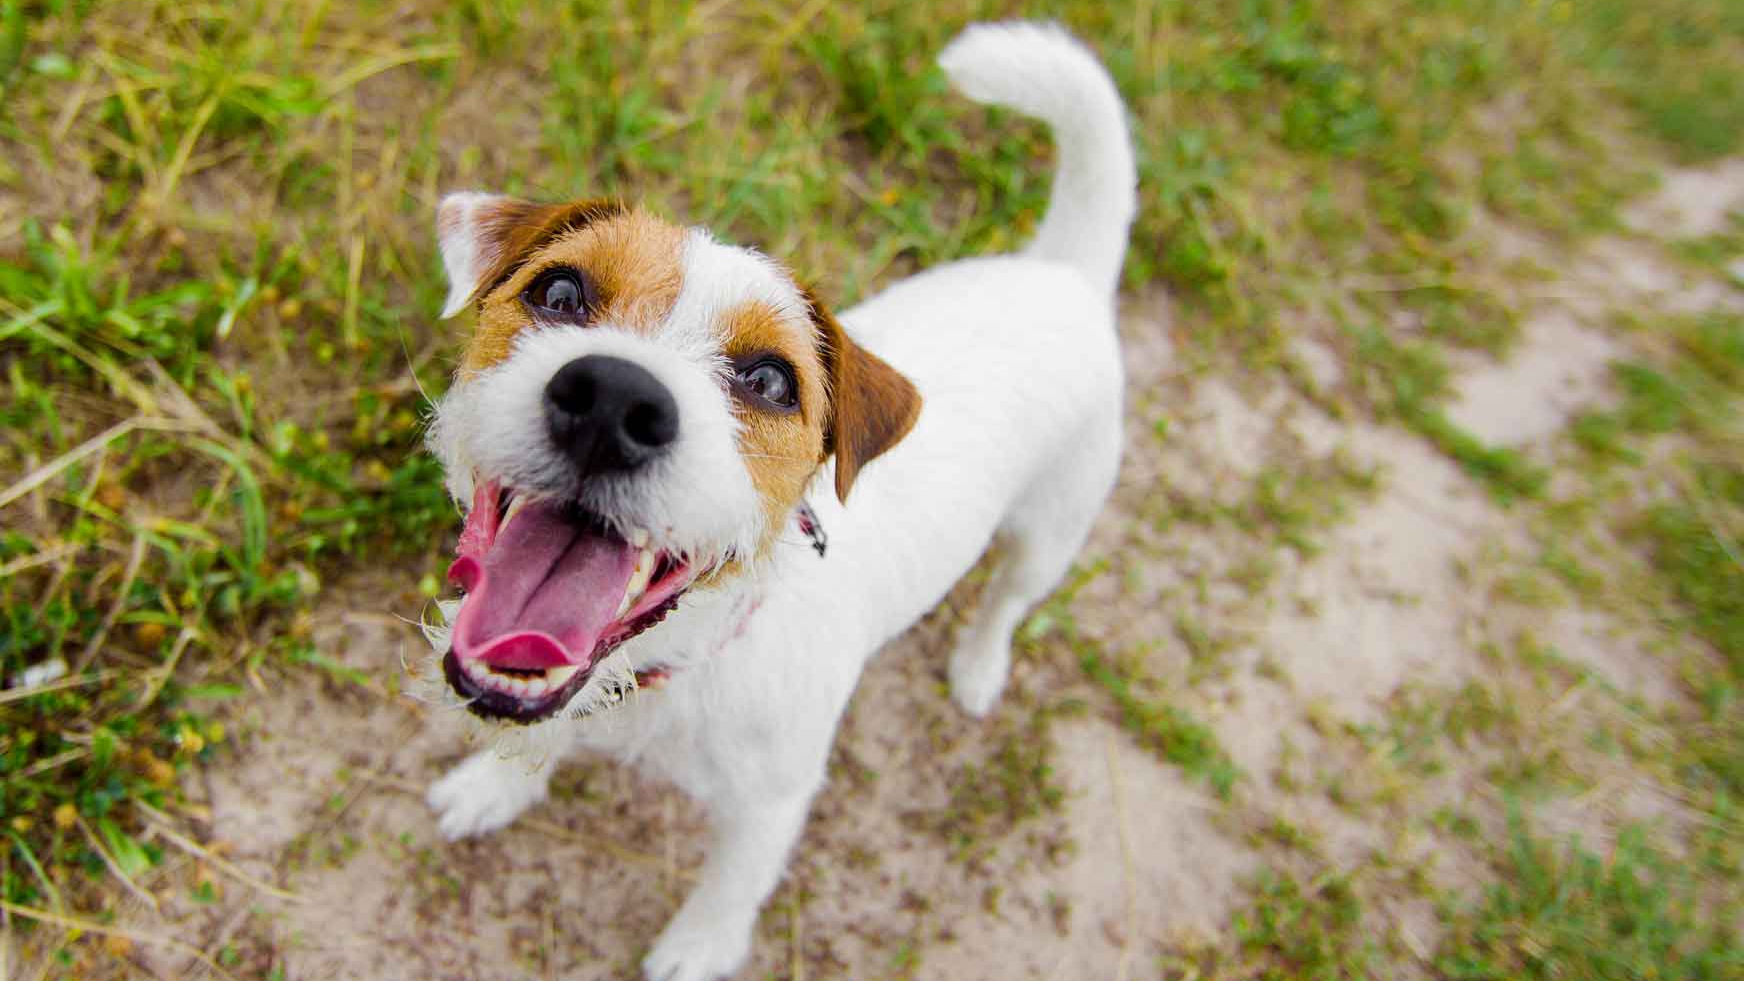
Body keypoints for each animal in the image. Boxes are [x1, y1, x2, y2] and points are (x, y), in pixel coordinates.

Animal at [416, 22, 1137, 977]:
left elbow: (732, 884)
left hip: (1049, 530)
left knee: (1008, 599)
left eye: (768, 380)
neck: (684, 658)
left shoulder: (771, 803)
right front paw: (492, 786)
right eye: (558, 291)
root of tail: (1064, 274)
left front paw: (698, 946)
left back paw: (979, 666)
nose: (612, 402)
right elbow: (537, 735)